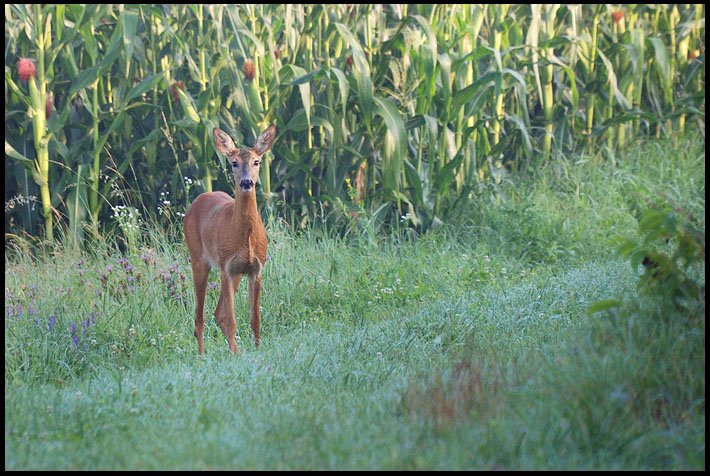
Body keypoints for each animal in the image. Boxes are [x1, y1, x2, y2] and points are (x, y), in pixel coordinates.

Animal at [182, 124, 276, 356]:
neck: (245, 237)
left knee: (217, 313)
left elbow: (255, 319)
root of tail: (199, 198)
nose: (246, 182)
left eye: (256, 161)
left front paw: (257, 352)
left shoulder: (255, 268)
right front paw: (238, 355)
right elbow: (232, 320)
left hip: (236, 273)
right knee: (201, 318)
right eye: (234, 163)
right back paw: (203, 356)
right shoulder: (226, 266)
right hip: (199, 259)